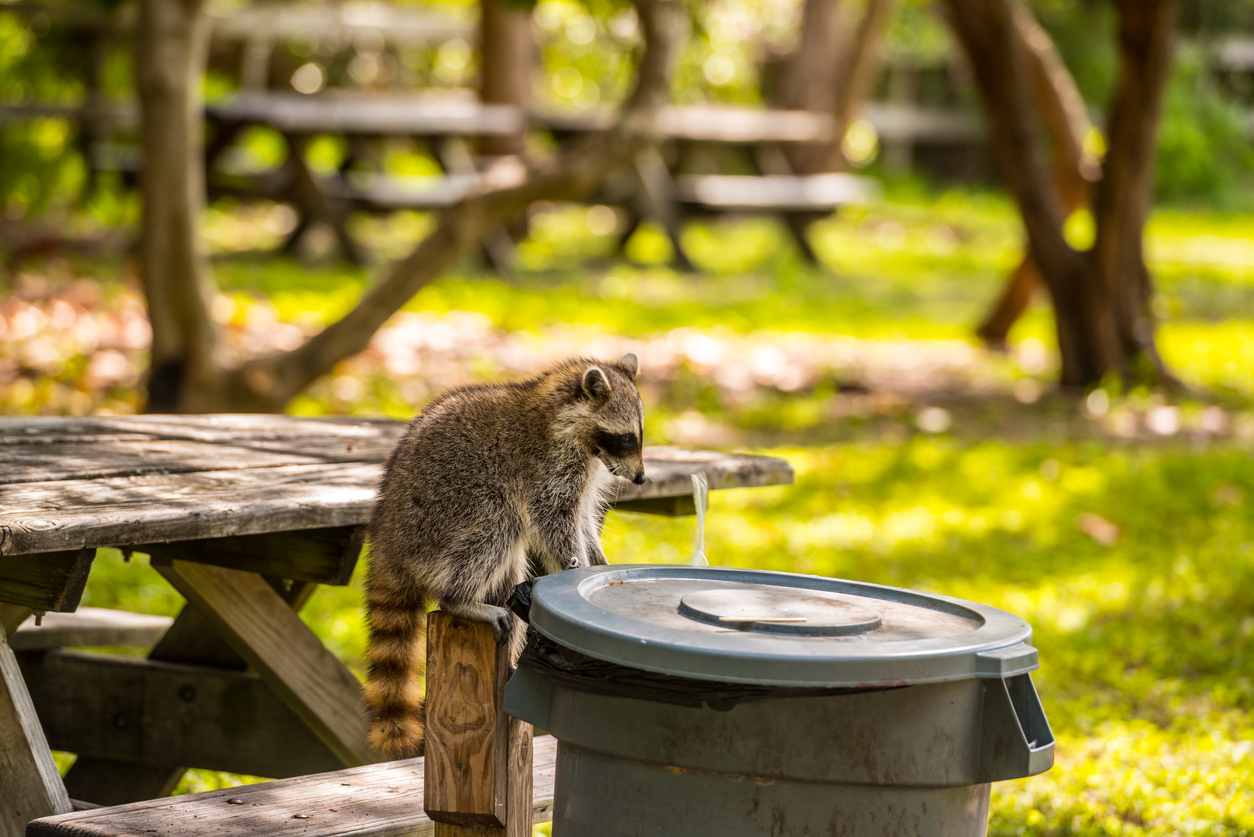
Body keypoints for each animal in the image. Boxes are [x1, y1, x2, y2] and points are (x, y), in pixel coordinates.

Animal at [362, 353, 645, 758]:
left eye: (640, 435)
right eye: (626, 438)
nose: (640, 478)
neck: (563, 414)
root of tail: (387, 541)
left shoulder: (587, 470)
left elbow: (584, 520)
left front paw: (599, 560)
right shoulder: (547, 465)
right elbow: (554, 520)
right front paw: (576, 565)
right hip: (441, 515)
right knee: (499, 522)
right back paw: (461, 599)